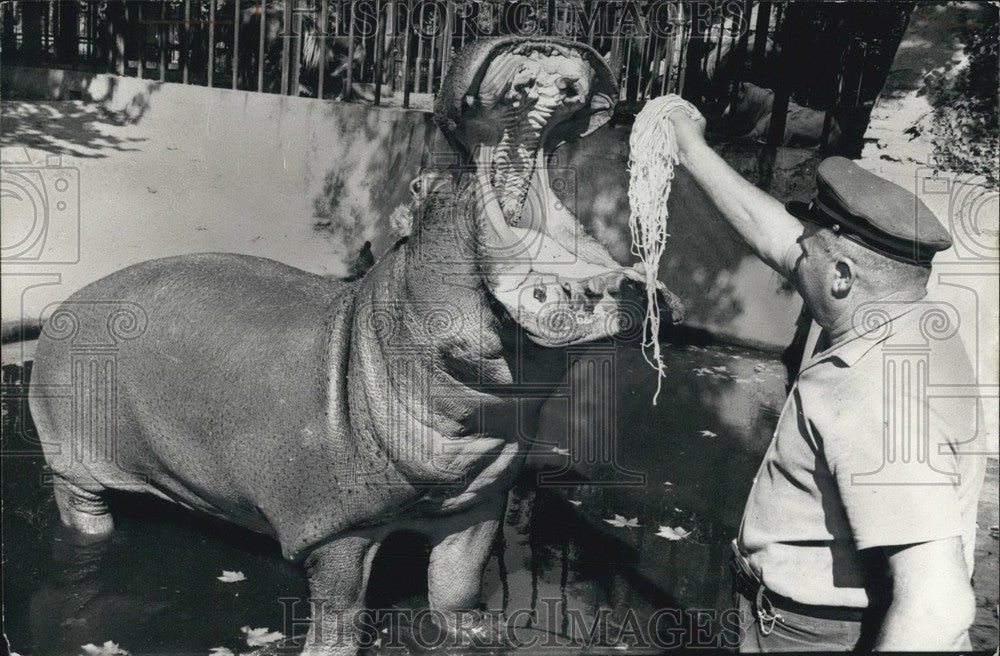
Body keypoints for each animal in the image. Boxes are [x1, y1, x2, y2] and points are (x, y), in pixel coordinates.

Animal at [29, 36, 682, 655]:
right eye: (420, 187)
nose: (539, 41)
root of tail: (70, 300)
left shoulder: (477, 506)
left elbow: (458, 583)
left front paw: (477, 633)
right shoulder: (336, 530)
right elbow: (341, 610)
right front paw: (329, 648)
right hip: (72, 457)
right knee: (81, 503)